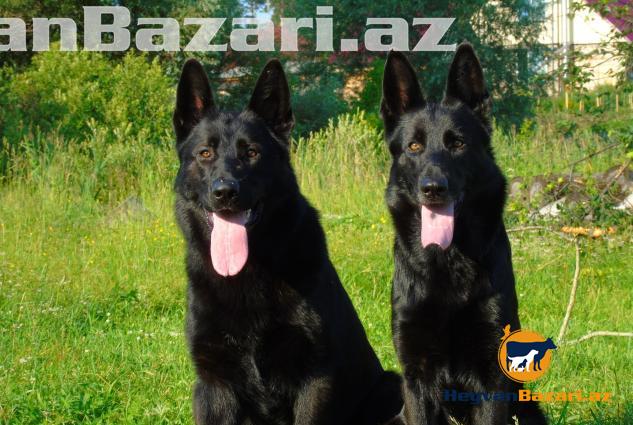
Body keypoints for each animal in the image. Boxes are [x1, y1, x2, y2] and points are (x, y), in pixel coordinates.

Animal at [173, 58, 402, 425]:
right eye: (205, 153)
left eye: (252, 152)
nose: (225, 192)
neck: (249, 271)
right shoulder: (213, 386)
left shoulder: (316, 380)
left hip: (390, 387)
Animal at [380, 43, 548, 425]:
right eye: (414, 146)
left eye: (457, 144)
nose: (433, 188)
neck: (447, 261)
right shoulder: (415, 374)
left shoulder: (492, 372)